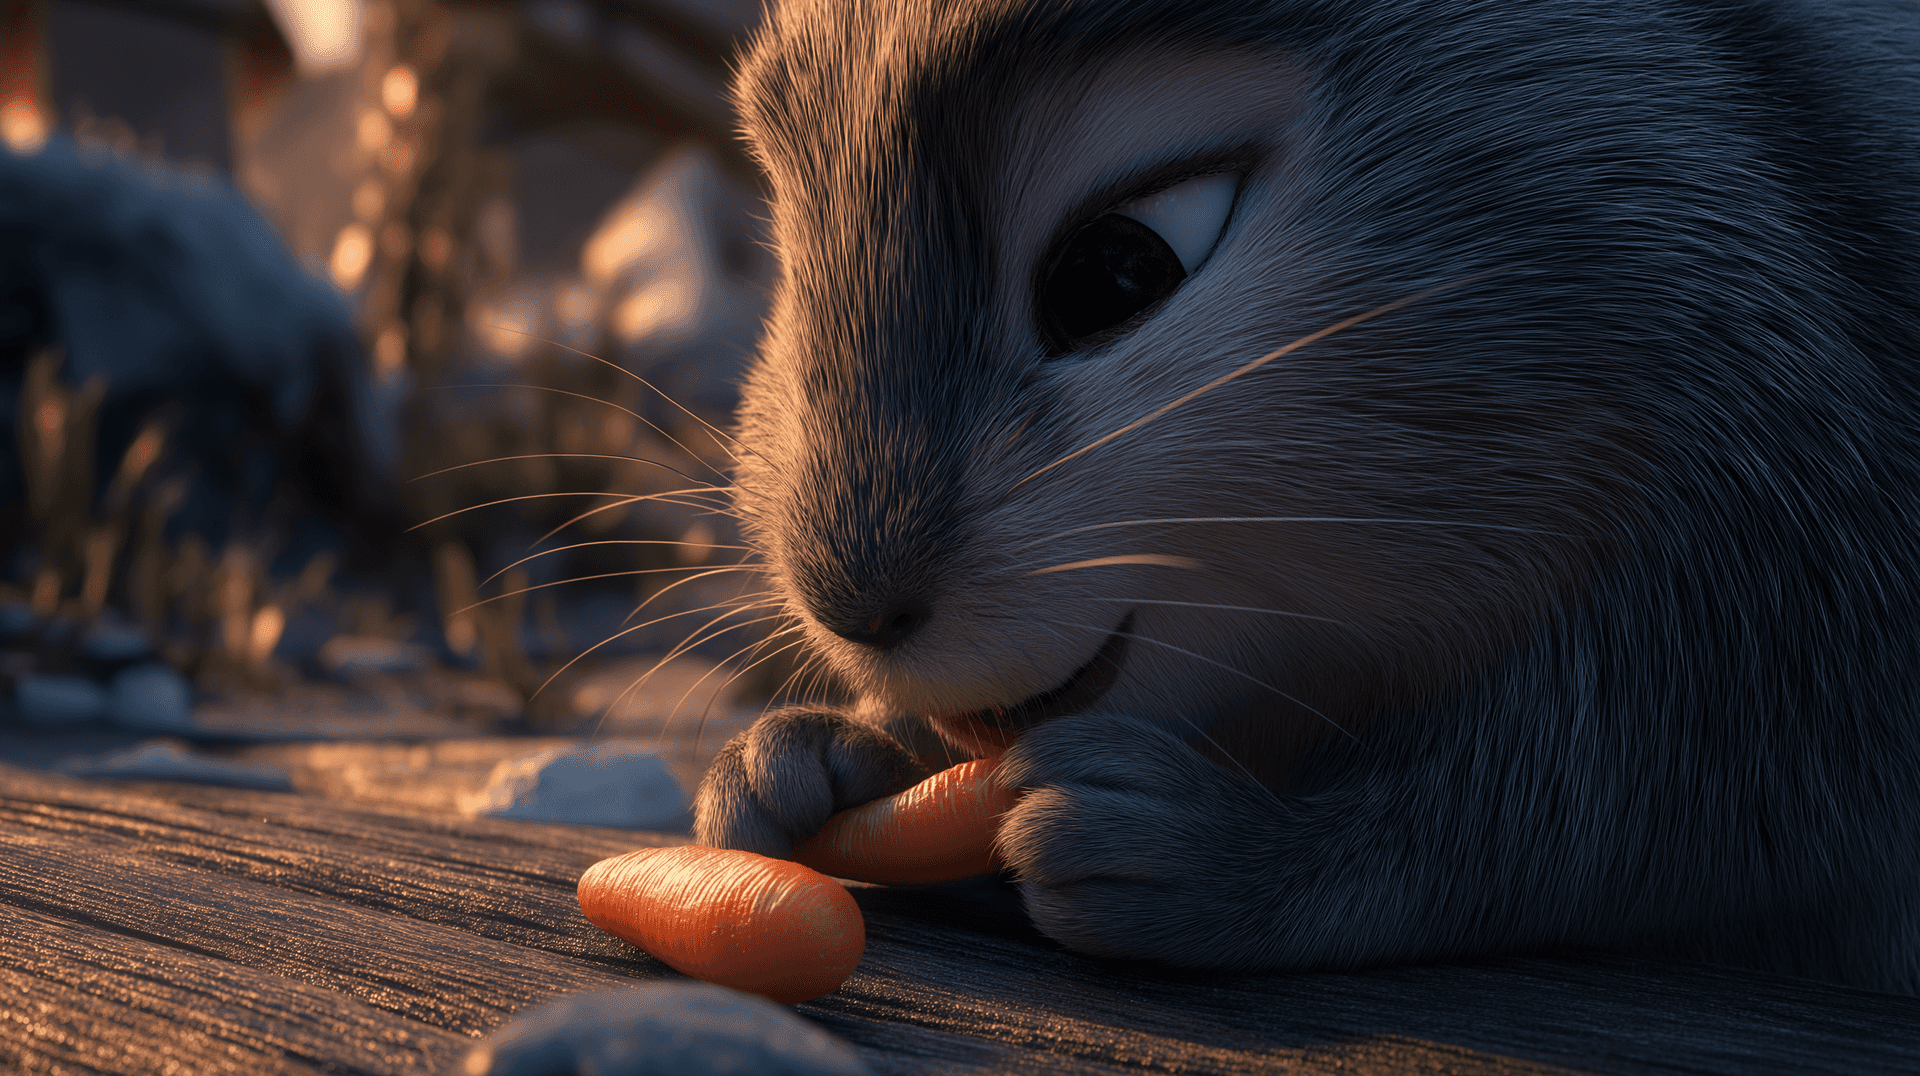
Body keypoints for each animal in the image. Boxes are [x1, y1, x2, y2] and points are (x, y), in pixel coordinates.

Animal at [692, 0, 1920, 995]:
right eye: (789, 268)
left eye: (1122, 266)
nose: (855, 606)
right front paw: (820, 755)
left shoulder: (1785, 568)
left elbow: (1607, 821)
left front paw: (1216, 852)